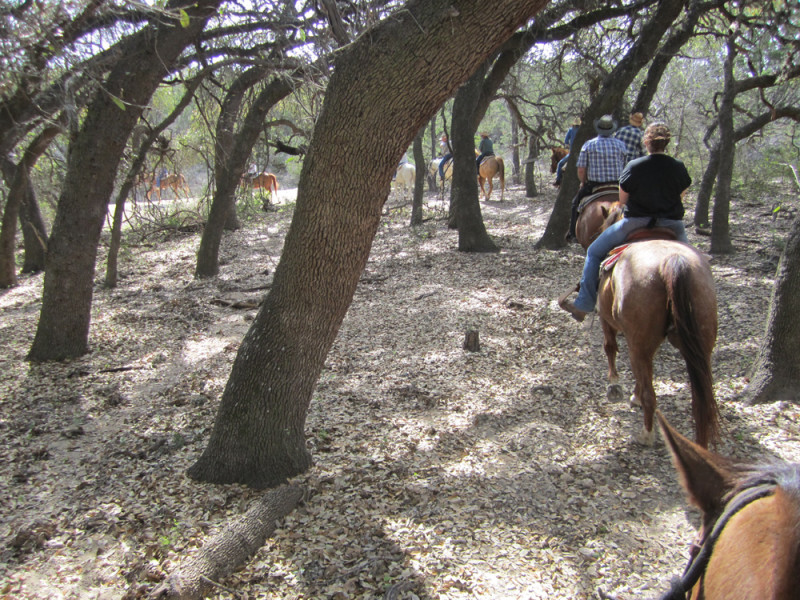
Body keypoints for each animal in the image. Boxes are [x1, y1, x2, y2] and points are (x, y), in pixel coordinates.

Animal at [564, 204, 720, 448]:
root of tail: (673, 261)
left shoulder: (607, 320)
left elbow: (610, 348)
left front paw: (615, 384)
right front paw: (631, 395)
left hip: (640, 339)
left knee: (651, 393)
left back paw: (646, 434)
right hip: (700, 341)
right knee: (700, 401)